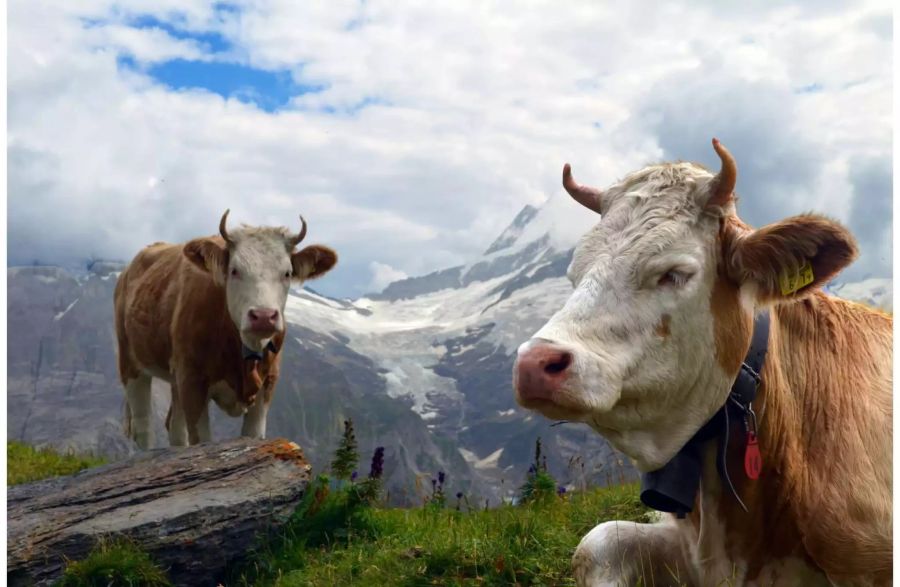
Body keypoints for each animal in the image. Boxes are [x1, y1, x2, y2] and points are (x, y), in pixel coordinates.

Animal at [113, 214, 338, 448]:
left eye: (287, 273)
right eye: (235, 270)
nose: (263, 316)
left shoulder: (268, 383)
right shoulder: (192, 381)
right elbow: (201, 441)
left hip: (176, 376)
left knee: (175, 426)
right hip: (131, 363)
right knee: (143, 425)